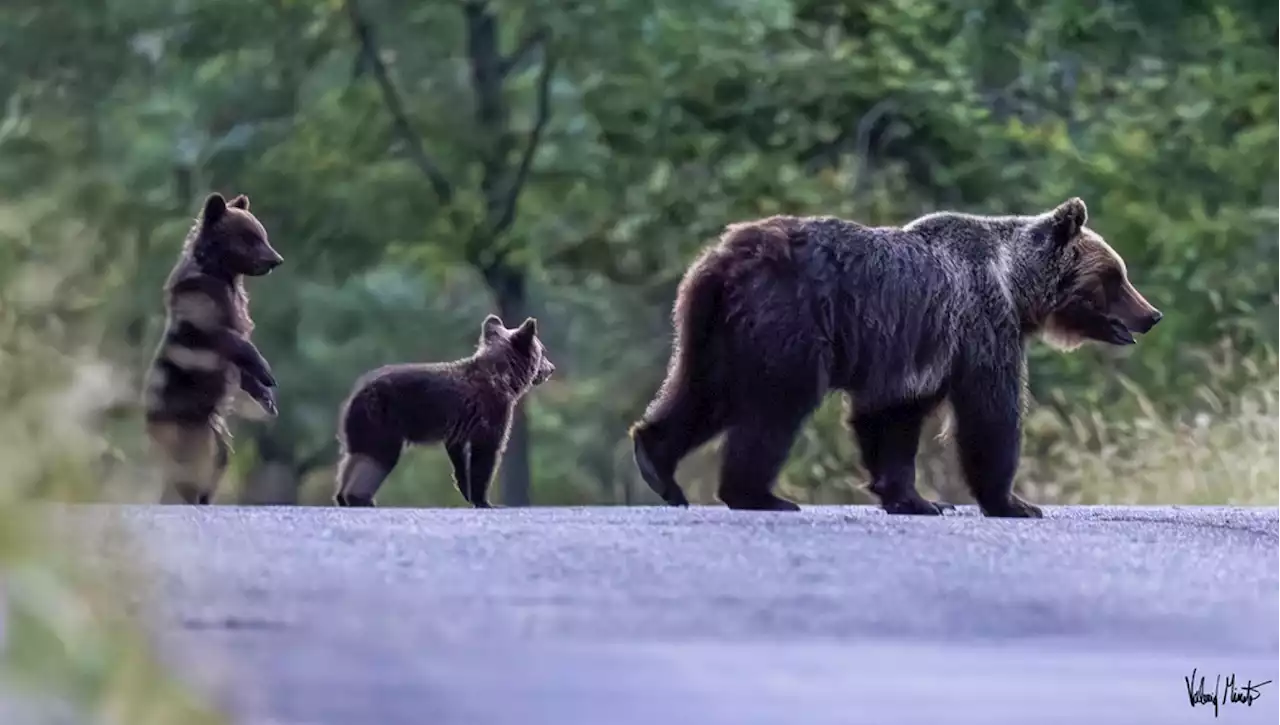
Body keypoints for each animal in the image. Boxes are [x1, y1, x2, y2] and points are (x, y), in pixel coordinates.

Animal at [629, 197, 1162, 517]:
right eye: (1115, 276)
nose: (1151, 314)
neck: (1015, 286)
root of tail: (722, 258)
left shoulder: (918, 354)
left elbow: (893, 419)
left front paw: (915, 499)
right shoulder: (981, 325)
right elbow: (989, 413)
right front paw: (1013, 502)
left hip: (714, 330)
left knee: (703, 393)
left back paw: (658, 466)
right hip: (790, 318)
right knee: (775, 406)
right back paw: (759, 494)